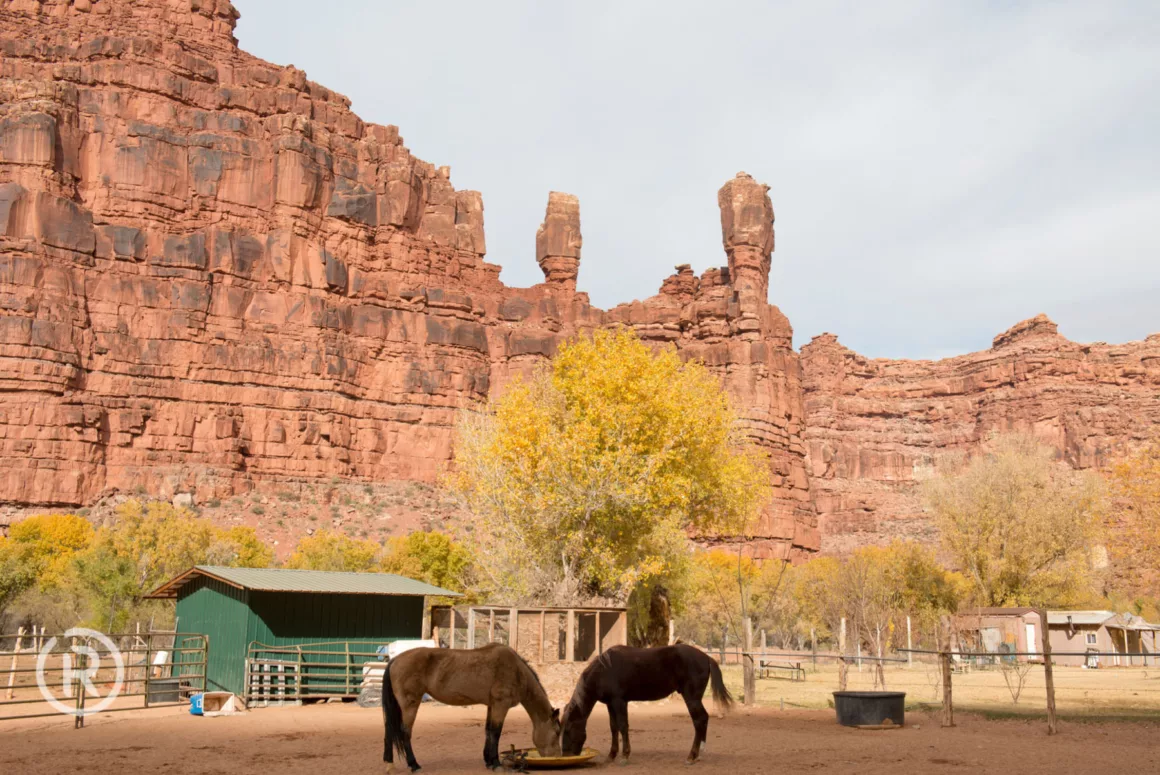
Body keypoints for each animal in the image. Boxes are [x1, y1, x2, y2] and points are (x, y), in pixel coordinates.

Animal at [380, 640, 561, 770]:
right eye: (557, 732)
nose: (558, 756)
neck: (516, 670)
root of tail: (395, 659)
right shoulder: (501, 705)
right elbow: (496, 732)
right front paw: (496, 763)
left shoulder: (492, 706)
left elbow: (488, 731)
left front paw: (488, 760)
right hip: (410, 704)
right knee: (405, 732)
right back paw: (414, 764)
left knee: (389, 730)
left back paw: (389, 764)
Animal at [561, 645, 733, 765]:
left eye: (568, 729)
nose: (566, 754)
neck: (604, 670)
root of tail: (706, 657)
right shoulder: (610, 704)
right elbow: (613, 727)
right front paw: (611, 755)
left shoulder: (619, 701)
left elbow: (623, 726)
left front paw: (625, 756)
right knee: (702, 720)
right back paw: (698, 754)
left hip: (692, 698)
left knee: (699, 720)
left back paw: (692, 756)